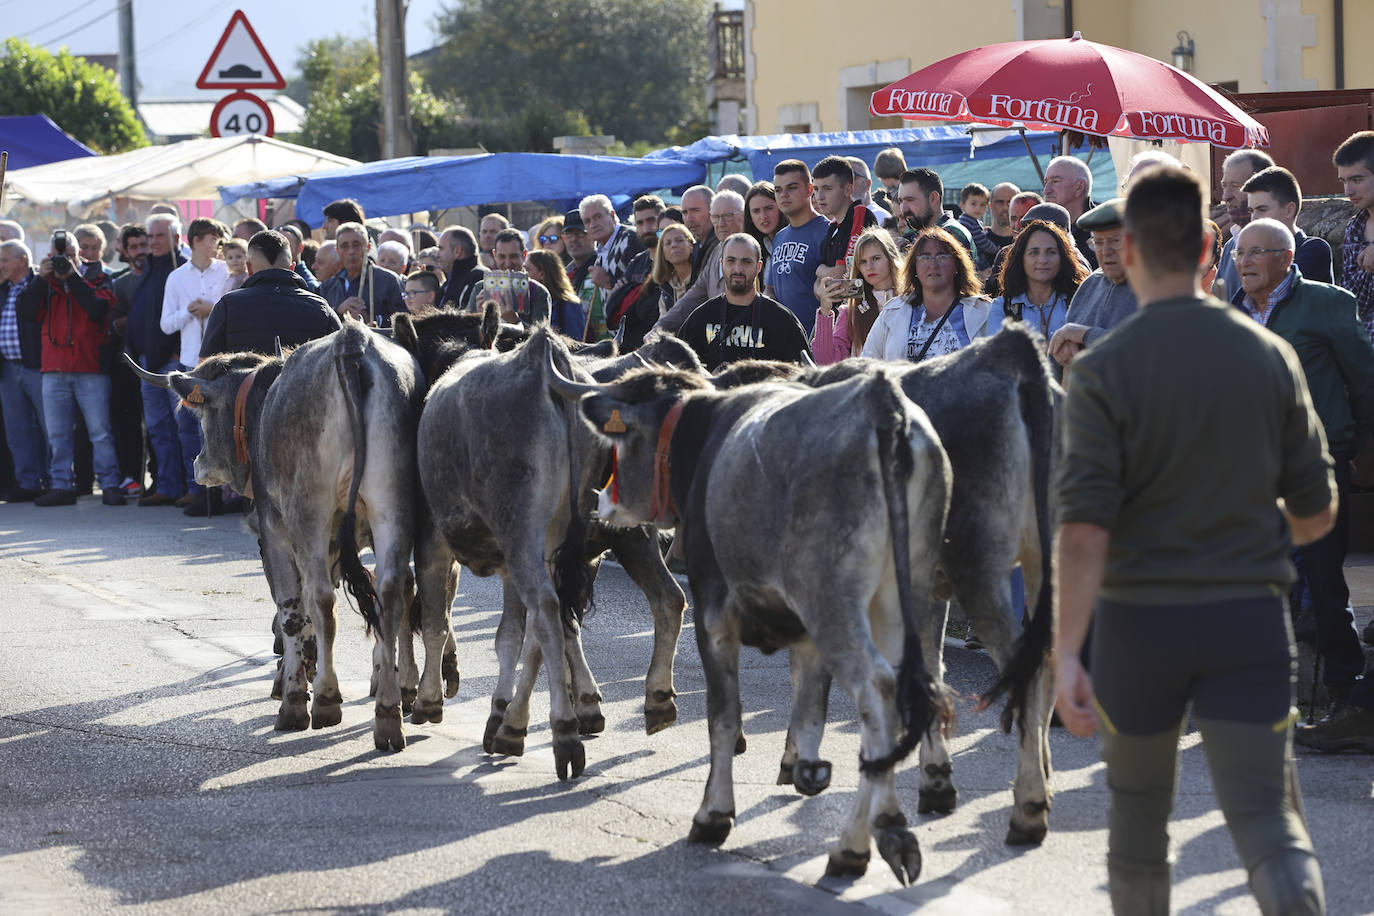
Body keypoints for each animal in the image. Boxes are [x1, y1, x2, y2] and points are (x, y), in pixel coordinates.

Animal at [129, 322, 428, 752]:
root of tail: (351, 341)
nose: (198, 464)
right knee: (393, 593)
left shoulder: (274, 532)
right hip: (392, 505)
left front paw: (294, 696)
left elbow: (292, 610)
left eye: (201, 416)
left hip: (309, 512)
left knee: (321, 600)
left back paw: (324, 701)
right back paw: (390, 712)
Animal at [546, 354, 956, 884]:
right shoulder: (802, 631)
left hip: (838, 607)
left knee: (878, 694)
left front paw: (713, 814)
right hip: (912, 598)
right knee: (914, 689)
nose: (600, 503)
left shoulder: (716, 611)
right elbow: (809, 703)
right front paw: (801, 766)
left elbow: (723, 716)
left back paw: (871, 834)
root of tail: (884, 408)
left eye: (621, 441)